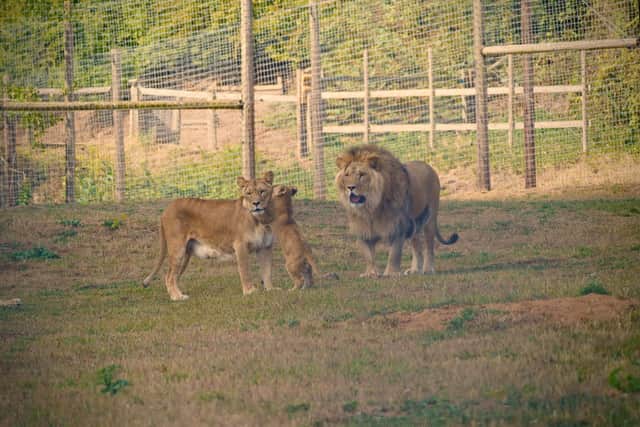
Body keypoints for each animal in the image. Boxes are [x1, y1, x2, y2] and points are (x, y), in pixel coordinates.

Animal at [143, 171, 277, 300]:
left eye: (262, 191)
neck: (260, 219)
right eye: (249, 193)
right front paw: (250, 291)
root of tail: (167, 208)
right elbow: (245, 270)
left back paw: (176, 295)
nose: (256, 203)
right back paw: (178, 297)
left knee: (173, 276)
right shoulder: (240, 246)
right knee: (169, 276)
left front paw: (271, 290)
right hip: (177, 249)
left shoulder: (265, 247)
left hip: (186, 252)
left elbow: (267, 271)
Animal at [335, 144, 458, 277]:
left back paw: (428, 269)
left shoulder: (398, 225)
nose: (350, 187)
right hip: (414, 224)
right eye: (347, 175)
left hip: (430, 218)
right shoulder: (363, 228)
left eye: (362, 174)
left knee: (429, 245)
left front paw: (391, 273)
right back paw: (415, 270)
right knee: (417, 247)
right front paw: (370, 274)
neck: (371, 207)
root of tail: (429, 166)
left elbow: (394, 253)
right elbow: (368, 254)